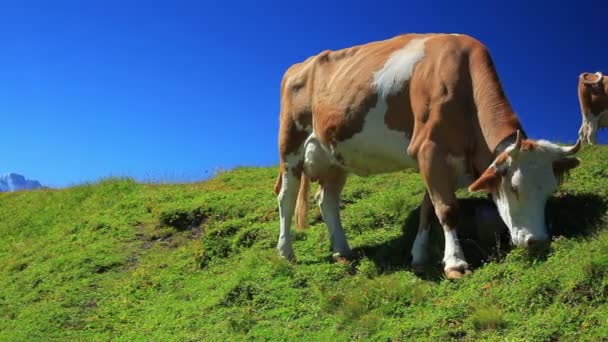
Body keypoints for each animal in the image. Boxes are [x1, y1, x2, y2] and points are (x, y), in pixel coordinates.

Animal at [274, 33, 580, 280]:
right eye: (515, 188)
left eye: (550, 190)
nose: (537, 240)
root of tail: (299, 66)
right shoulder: (430, 149)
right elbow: (447, 210)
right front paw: (455, 263)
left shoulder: (432, 158)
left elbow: (427, 209)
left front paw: (419, 257)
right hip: (291, 147)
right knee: (286, 197)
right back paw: (286, 252)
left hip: (335, 156)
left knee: (327, 200)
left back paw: (342, 251)